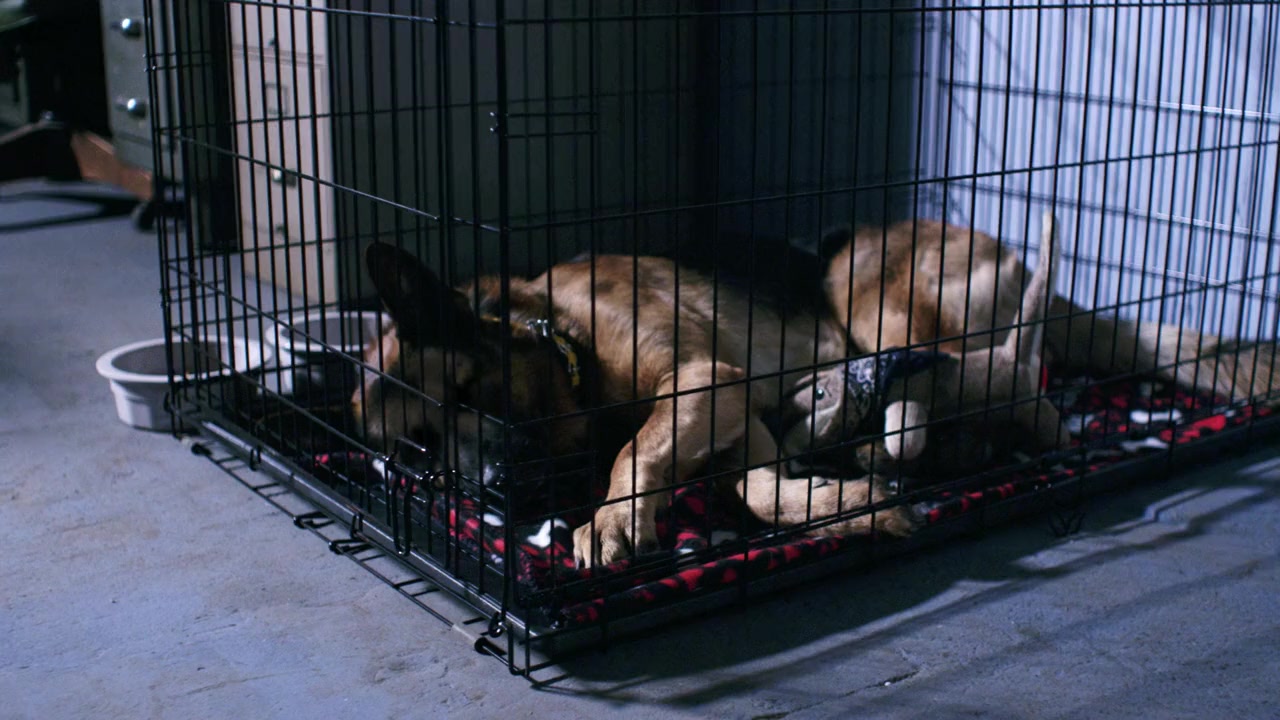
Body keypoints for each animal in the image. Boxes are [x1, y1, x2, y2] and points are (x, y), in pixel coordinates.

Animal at [353, 244, 917, 568]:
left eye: (467, 389)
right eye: (422, 450)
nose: (493, 485)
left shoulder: (706, 378)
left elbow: (637, 446)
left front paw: (613, 515)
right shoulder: (738, 412)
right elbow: (754, 490)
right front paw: (850, 504)